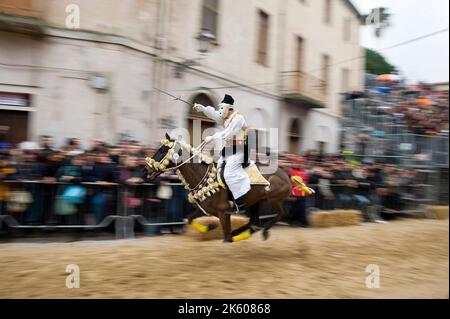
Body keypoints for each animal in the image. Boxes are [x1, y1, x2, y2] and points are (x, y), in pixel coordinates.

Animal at [146, 134, 294, 244]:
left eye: (163, 150)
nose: (147, 169)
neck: (203, 176)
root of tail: (286, 174)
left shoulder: (223, 212)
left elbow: (226, 236)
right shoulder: (207, 210)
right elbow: (189, 219)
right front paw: (210, 226)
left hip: (274, 198)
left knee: (282, 213)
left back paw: (264, 230)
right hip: (254, 202)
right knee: (254, 222)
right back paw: (241, 233)